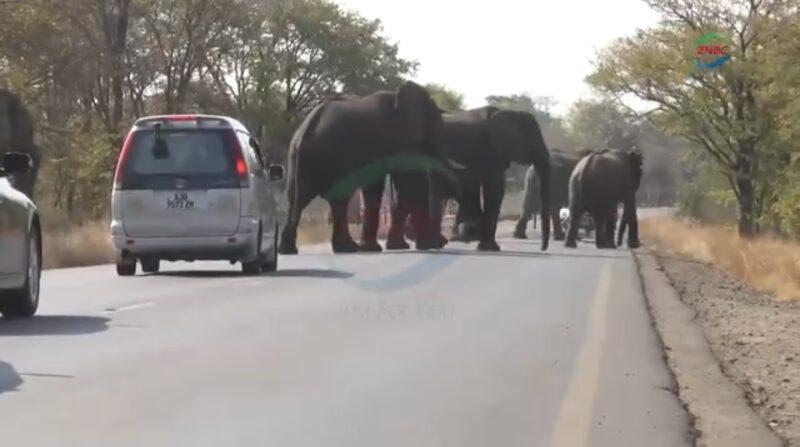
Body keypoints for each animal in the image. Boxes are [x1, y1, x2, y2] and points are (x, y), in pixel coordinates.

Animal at [278, 81, 446, 256]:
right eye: (435, 125)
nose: (443, 242)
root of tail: (306, 129)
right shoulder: (401, 137)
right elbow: (410, 184)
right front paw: (428, 245)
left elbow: (378, 188)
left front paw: (383, 247)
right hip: (333, 155)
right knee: (338, 199)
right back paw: (347, 248)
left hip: (297, 158)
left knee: (296, 199)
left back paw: (289, 250)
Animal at [388, 106, 552, 252]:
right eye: (533, 138)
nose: (542, 249)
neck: (510, 113)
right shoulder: (492, 150)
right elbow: (494, 191)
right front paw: (489, 248)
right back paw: (432, 243)